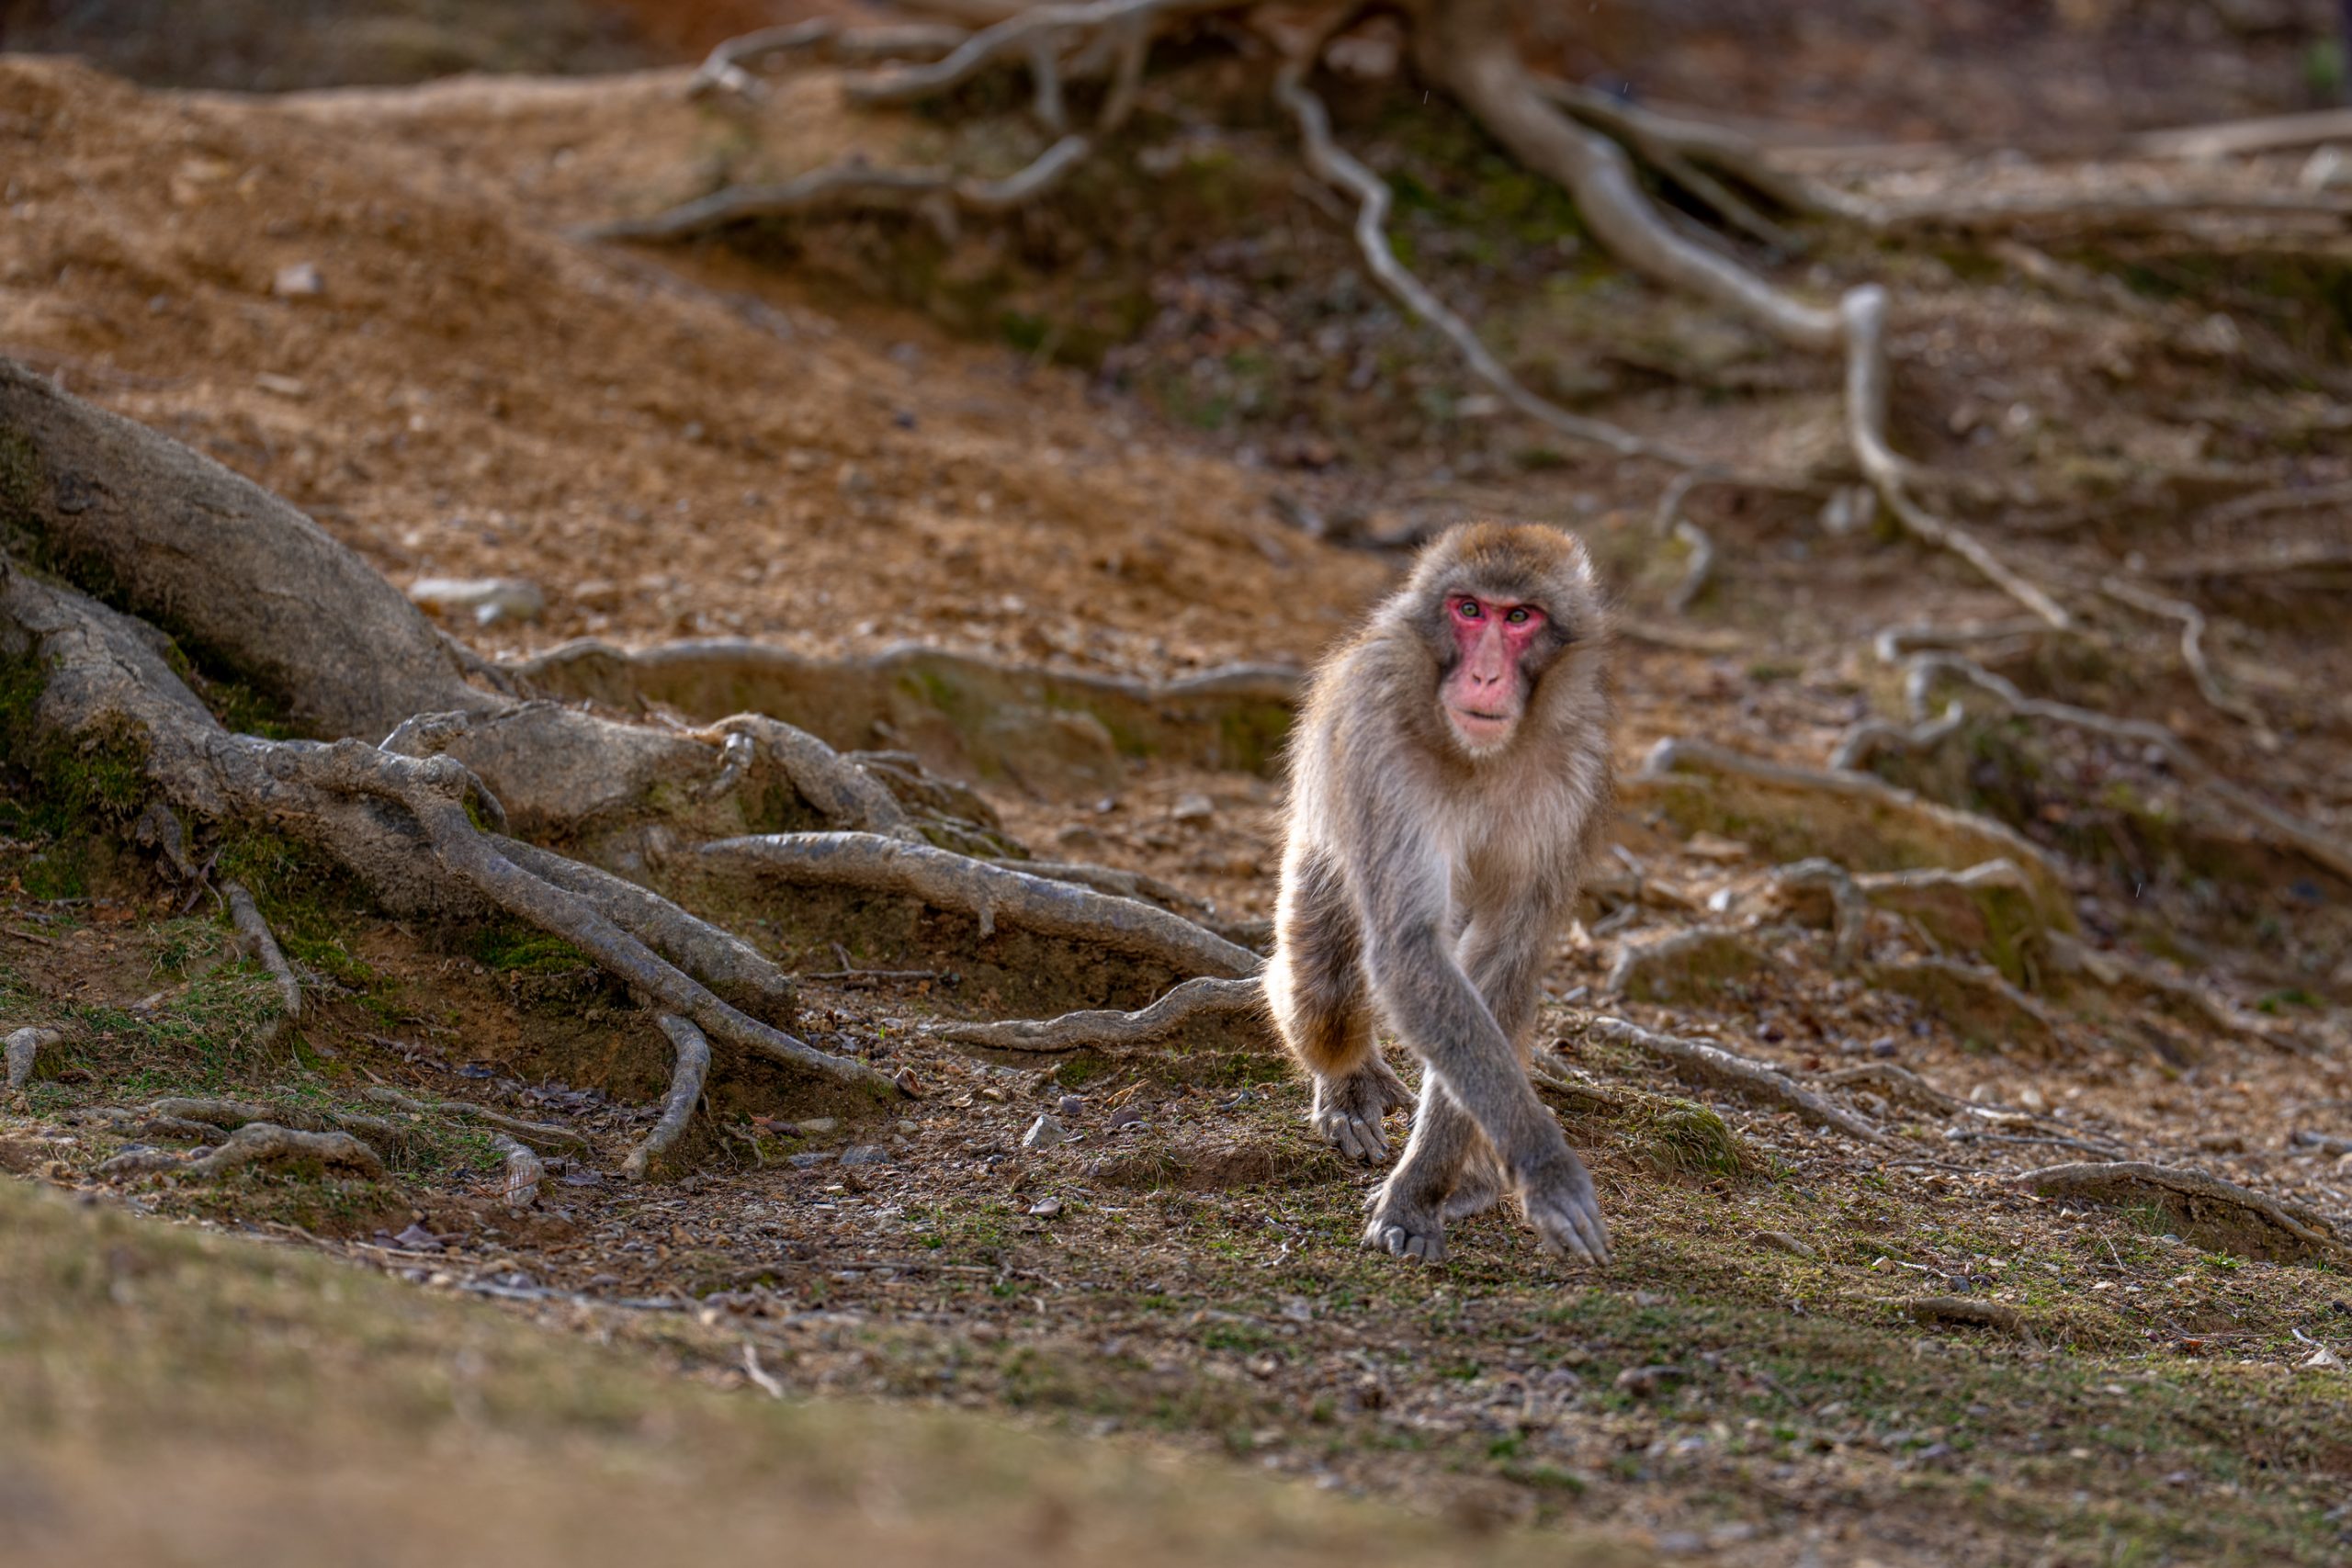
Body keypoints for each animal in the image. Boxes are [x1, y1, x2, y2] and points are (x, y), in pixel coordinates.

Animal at [1262, 520, 1613, 1264]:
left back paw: (1472, 1176)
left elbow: (1501, 959)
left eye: (1520, 617)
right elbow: (1409, 948)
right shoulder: (1381, 748)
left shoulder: (1577, 774)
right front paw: (1544, 1163)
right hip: (1316, 858)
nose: (1484, 675)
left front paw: (1427, 1189)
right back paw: (1346, 1083)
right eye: (1469, 609)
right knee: (1324, 990)